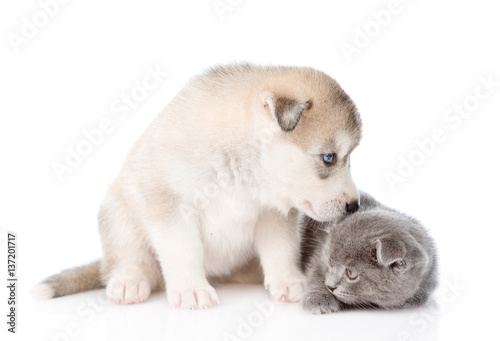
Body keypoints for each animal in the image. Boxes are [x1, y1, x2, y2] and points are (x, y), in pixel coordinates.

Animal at [33, 63, 362, 308]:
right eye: (329, 157)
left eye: (348, 158)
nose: (354, 205)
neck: (240, 170)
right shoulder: (171, 207)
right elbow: (184, 250)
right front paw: (191, 290)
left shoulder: (273, 214)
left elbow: (281, 249)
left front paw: (289, 281)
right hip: (118, 213)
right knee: (125, 260)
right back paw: (129, 282)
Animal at [300, 190, 438, 312]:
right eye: (330, 263)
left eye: (351, 274)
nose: (330, 286)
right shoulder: (319, 255)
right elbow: (316, 273)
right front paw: (319, 300)